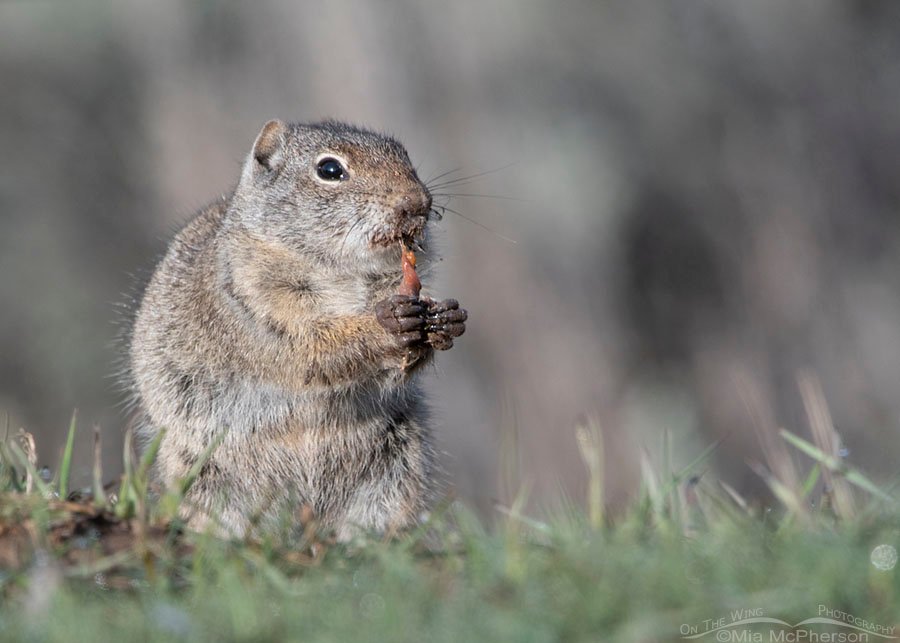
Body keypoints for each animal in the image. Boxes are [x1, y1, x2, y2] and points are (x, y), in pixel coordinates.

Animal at [128, 119, 467, 540]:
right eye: (329, 170)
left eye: (405, 156)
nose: (417, 202)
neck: (344, 273)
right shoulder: (254, 305)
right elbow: (314, 351)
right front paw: (384, 325)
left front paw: (445, 320)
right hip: (204, 476)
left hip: (398, 468)